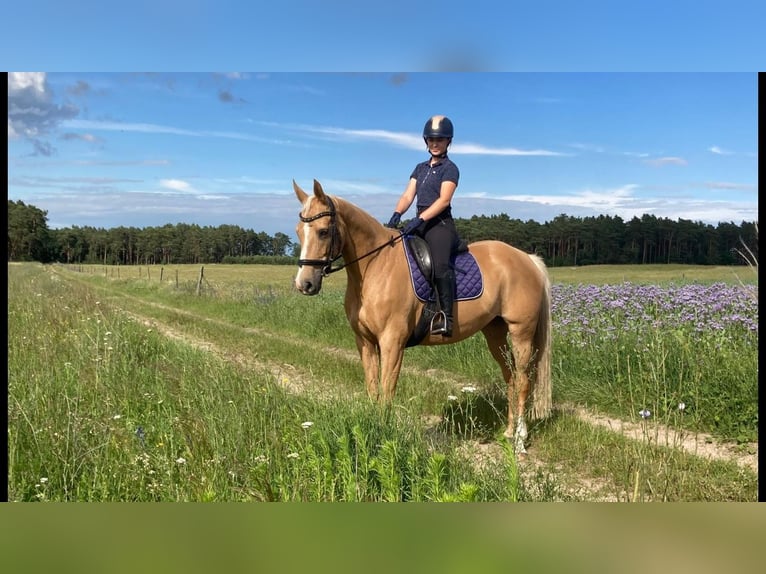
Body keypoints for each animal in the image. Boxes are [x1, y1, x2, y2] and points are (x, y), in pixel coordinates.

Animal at [294, 180, 552, 454]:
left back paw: (520, 441)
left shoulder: (392, 343)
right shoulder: (365, 342)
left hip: (521, 332)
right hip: (495, 333)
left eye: (323, 232)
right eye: (298, 231)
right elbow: (373, 389)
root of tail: (527, 259)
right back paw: (509, 431)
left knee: (523, 379)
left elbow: (387, 391)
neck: (375, 267)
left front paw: (383, 436)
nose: (304, 284)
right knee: (511, 376)